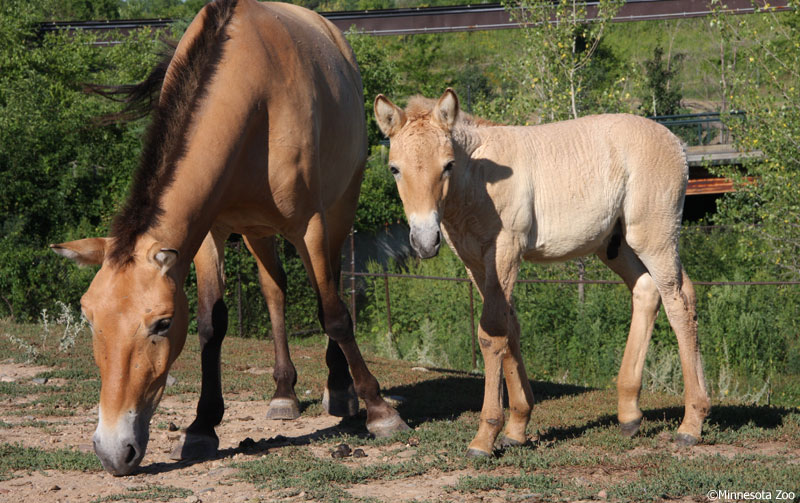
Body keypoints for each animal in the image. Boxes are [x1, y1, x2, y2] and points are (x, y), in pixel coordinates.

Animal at [50, 0, 406, 476]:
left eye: (162, 324)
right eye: (90, 320)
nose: (112, 451)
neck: (252, 90)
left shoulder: (310, 224)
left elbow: (333, 314)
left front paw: (380, 411)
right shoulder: (208, 234)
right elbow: (210, 325)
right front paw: (202, 426)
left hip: (339, 208)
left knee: (329, 284)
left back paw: (341, 390)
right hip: (257, 231)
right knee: (275, 292)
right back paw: (283, 394)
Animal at [376, 89, 712, 456]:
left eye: (447, 165)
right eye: (394, 169)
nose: (425, 241)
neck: (477, 177)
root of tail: (676, 142)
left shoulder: (505, 251)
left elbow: (492, 333)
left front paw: (485, 436)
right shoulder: (475, 262)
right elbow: (509, 326)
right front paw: (516, 427)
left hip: (653, 236)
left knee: (678, 301)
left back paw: (691, 424)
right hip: (615, 243)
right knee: (649, 291)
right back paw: (629, 415)